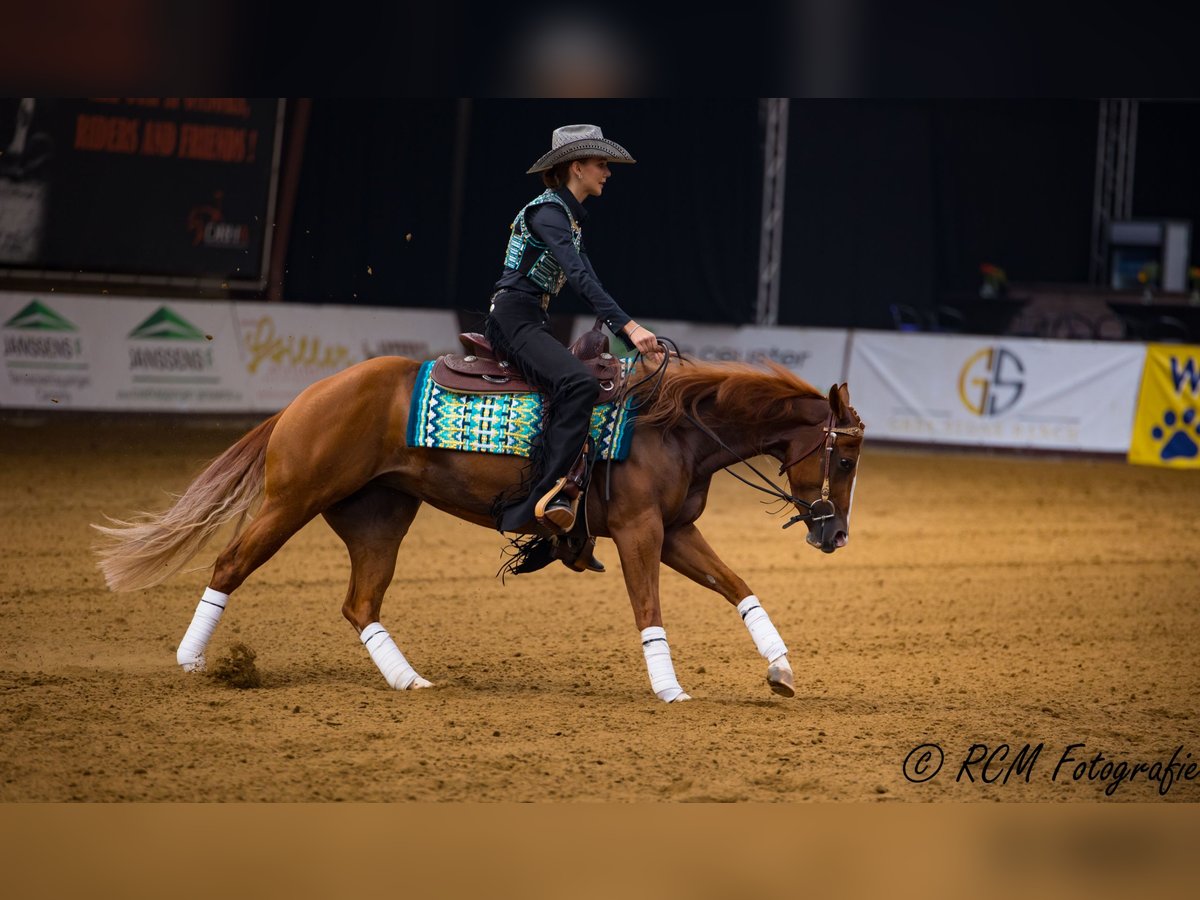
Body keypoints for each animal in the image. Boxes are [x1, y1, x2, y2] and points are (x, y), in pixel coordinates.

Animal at [91, 348, 864, 705]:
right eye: (846, 456)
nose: (835, 537)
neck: (669, 425)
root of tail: (308, 397)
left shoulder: (675, 533)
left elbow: (740, 588)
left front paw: (781, 668)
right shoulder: (641, 531)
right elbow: (649, 609)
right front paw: (670, 689)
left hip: (379, 518)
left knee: (360, 604)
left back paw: (409, 681)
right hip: (293, 500)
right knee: (229, 566)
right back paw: (192, 662)